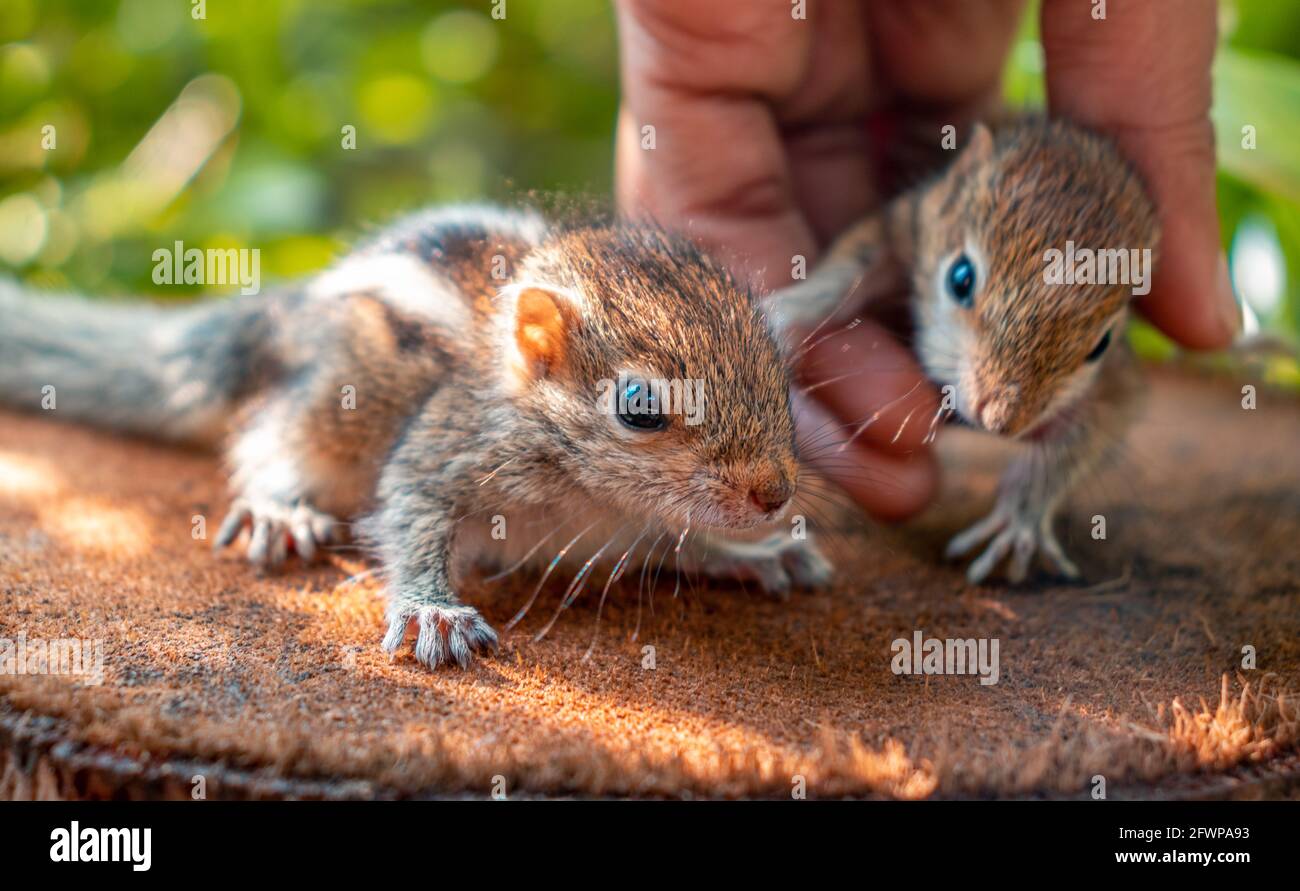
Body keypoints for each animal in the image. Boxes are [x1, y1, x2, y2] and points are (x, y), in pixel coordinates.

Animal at [0, 206, 832, 665]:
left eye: (780, 367)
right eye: (638, 404)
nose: (773, 493)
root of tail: (285, 311)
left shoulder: (638, 527)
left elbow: (684, 545)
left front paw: (757, 555)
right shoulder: (448, 448)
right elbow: (409, 511)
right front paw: (433, 609)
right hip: (327, 407)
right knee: (267, 444)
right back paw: (278, 506)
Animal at [759, 118, 1159, 582]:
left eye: (1102, 345)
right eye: (960, 278)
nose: (1002, 421)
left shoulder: (1117, 385)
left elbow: (1077, 444)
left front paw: (1019, 523)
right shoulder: (908, 222)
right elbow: (847, 268)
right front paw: (783, 314)